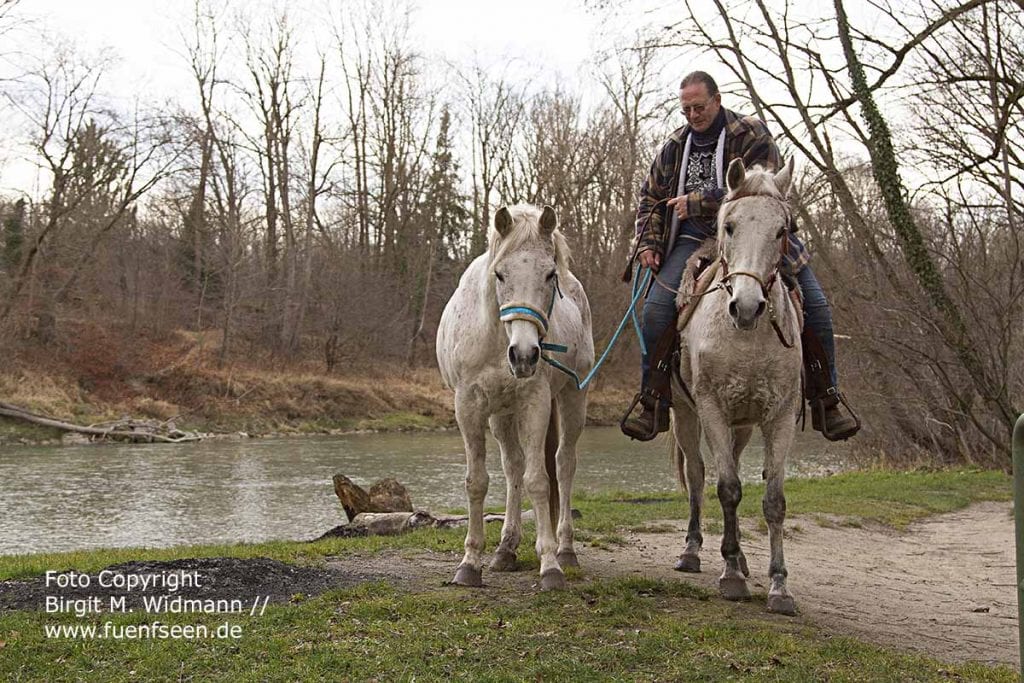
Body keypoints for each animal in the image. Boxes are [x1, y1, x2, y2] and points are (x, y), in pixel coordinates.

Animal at [436, 205, 598, 589]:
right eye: (500, 274)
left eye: (550, 274)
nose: (524, 356)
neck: (497, 338)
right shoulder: (469, 406)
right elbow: (477, 482)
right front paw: (470, 563)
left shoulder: (535, 404)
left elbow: (538, 481)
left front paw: (550, 565)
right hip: (501, 415)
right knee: (513, 467)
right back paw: (506, 549)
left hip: (573, 399)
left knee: (563, 465)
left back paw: (565, 549)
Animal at [671, 157, 806, 618]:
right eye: (728, 226)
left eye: (783, 230)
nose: (746, 307)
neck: (746, 338)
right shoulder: (711, 408)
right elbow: (727, 489)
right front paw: (730, 575)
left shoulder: (778, 416)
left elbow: (774, 500)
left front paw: (779, 585)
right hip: (685, 414)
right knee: (697, 476)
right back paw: (693, 551)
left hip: (743, 426)